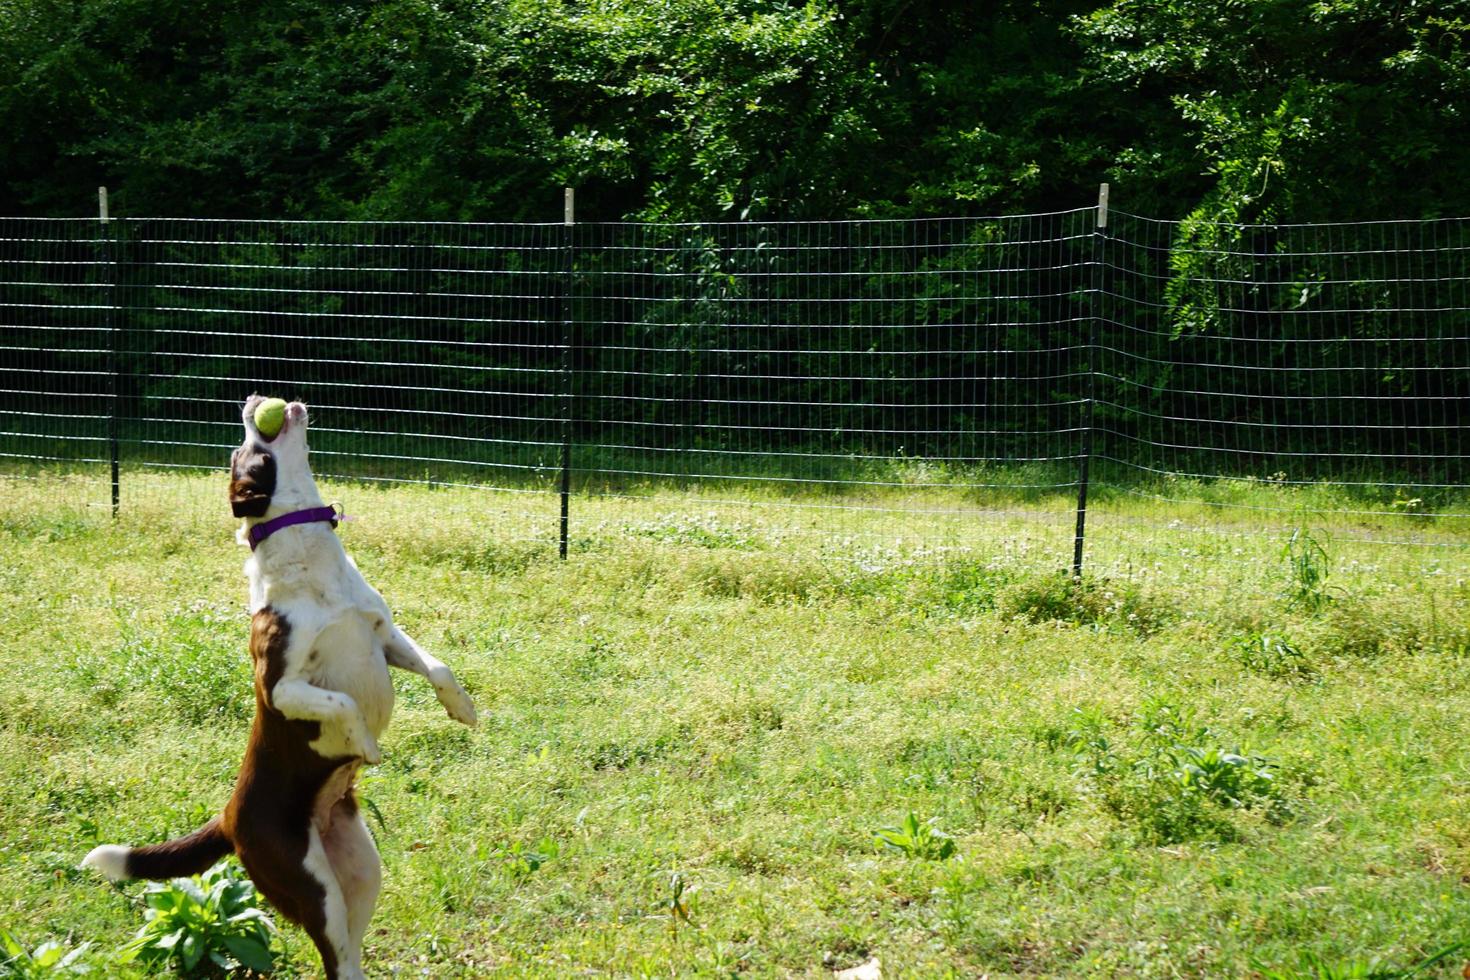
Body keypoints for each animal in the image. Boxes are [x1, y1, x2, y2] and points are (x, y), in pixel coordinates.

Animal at [83, 393, 476, 975]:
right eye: (243, 452)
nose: (251, 398)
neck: (308, 559)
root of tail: (228, 820)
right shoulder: (280, 688)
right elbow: (341, 701)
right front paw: (364, 743)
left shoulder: (383, 635)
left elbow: (439, 668)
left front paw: (463, 709)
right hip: (308, 884)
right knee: (333, 952)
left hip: (360, 870)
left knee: (348, 956)